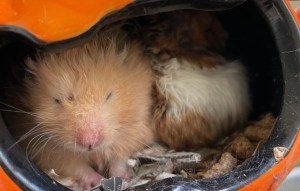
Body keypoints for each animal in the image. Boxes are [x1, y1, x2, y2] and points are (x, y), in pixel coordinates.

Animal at [2, 26, 155, 190]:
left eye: (109, 95)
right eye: (57, 101)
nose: (90, 143)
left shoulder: (136, 124)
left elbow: (120, 155)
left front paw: (120, 176)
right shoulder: (44, 149)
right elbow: (77, 166)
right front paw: (98, 180)